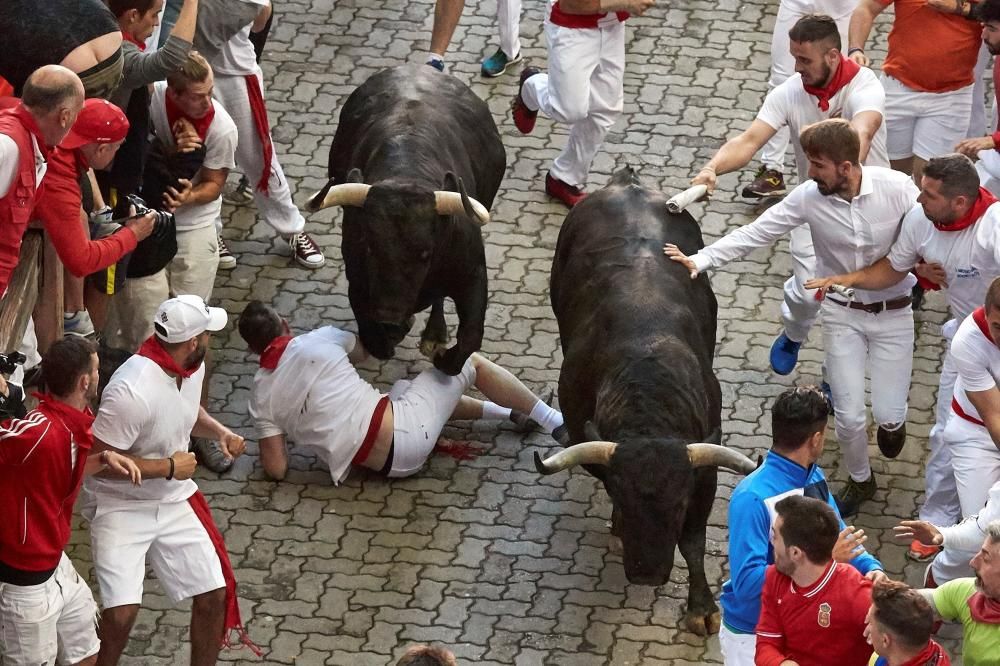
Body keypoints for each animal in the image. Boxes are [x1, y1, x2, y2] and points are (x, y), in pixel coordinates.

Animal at [306, 65, 508, 376]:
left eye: (425, 254)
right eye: (370, 248)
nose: (390, 315)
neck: (407, 170)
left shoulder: (472, 273)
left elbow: (470, 336)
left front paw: (442, 356)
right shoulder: (357, 278)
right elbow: (372, 333)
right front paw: (394, 331)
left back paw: (434, 333)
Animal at [536, 166, 752, 632]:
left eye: (679, 503)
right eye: (621, 496)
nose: (648, 573)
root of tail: (627, 182)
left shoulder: (703, 473)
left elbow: (693, 541)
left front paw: (702, 607)